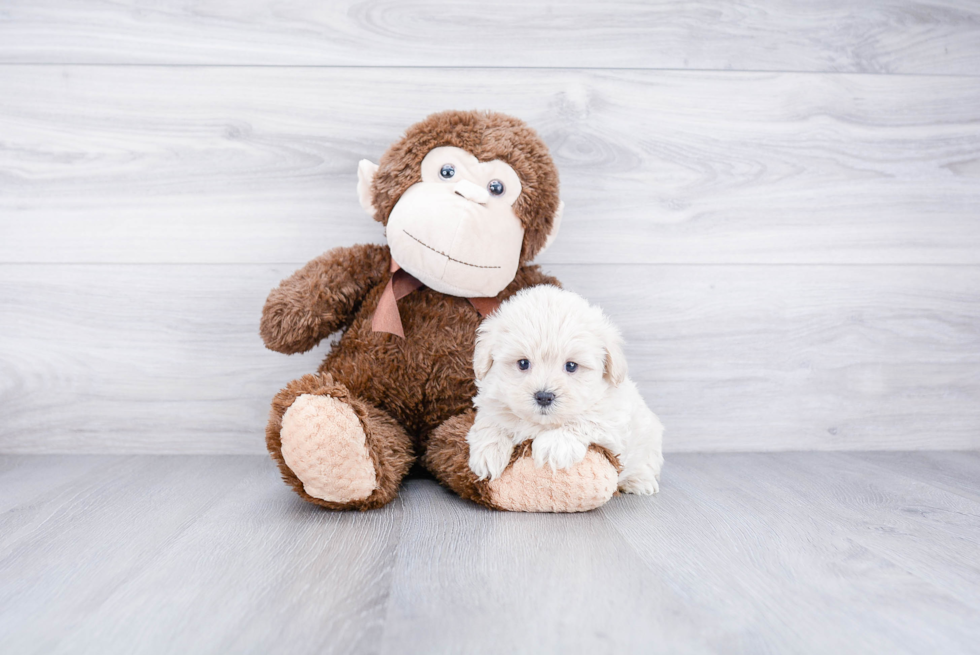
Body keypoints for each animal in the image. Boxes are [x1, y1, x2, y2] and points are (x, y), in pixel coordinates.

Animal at [468, 284, 668, 494]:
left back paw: (638, 481)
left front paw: (553, 445)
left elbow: (584, 420)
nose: (544, 396)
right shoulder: (492, 401)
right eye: (523, 363)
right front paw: (488, 453)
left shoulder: (611, 419)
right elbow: (491, 422)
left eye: (571, 366)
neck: (541, 424)